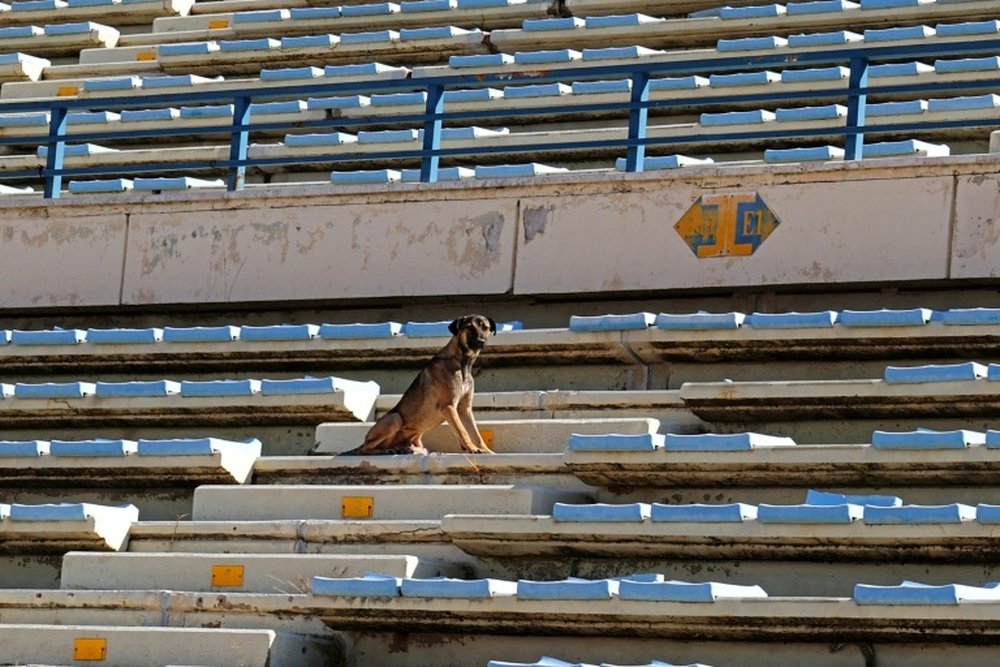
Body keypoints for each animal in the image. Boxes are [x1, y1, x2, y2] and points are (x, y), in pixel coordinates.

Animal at [342, 316, 498, 456]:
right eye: (469, 327)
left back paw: (406, 449)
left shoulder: (465, 410)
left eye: (485, 327)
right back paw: (385, 451)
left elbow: (476, 434)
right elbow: (462, 430)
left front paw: (485, 450)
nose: (481, 341)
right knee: (364, 449)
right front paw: (472, 448)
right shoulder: (448, 406)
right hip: (394, 418)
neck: (462, 362)